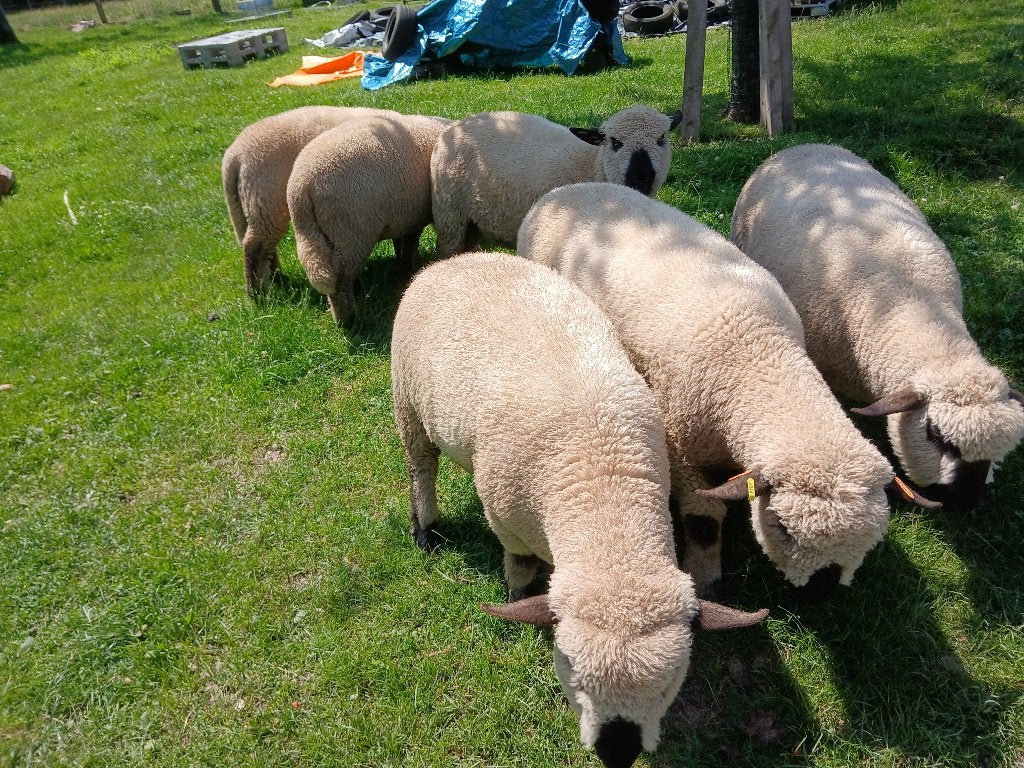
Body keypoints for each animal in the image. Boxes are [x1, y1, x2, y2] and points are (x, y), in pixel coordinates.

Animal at [221, 105, 399, 295]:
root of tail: (234, 155)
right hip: (265, 200)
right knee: (254, 246)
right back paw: (257, 293)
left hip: (252, 204)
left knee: (264, 246)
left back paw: (277, 278)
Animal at [286, 112, 451, 325]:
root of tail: (301, 187)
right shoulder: (414, 219)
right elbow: (410, 245)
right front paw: (407, 268)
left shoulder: (402, 216)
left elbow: (400, 244)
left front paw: (400, 269)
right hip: (350, 232)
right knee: (341, 279)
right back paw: (348, 320)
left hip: (315, 234)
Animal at [391, 251, 766, 768]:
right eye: (571, 675)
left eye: (669, 686)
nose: (617, 753)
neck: (603, 493)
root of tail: (455, 260)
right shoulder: (506, 519)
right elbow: (520, 565)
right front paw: (516, 595)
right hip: (408, 400)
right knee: (421, 468)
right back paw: (426, 529)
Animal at [429, 105, 682, 258]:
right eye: (615, 142)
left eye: (661, 139)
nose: (641, 176)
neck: (592, 164)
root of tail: (454, 126)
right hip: (450, 214)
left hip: (472, 219)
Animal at [517, 181, 924, 604]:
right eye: (784, 528)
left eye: (869, 540)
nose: (820, 595)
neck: (757, 357)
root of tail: (564, 190)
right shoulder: (681, 448)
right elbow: (704, 519)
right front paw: (705, 579)